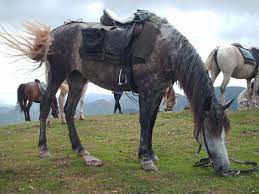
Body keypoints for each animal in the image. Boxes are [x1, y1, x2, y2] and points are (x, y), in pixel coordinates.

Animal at [0, 11, 234, 174]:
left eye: (224, 131)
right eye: (209, 129)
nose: (225, 169)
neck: (166, 49)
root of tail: (52, 34)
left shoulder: (158, 91)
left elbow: (152, 122)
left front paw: (151, 154)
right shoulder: (147, 90)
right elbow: (144, 121)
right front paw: (146, 160)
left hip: (77, 79)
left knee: (69, 110)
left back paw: (82, 150)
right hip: (57, 75)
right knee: (47, 106)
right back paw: (43, 148)